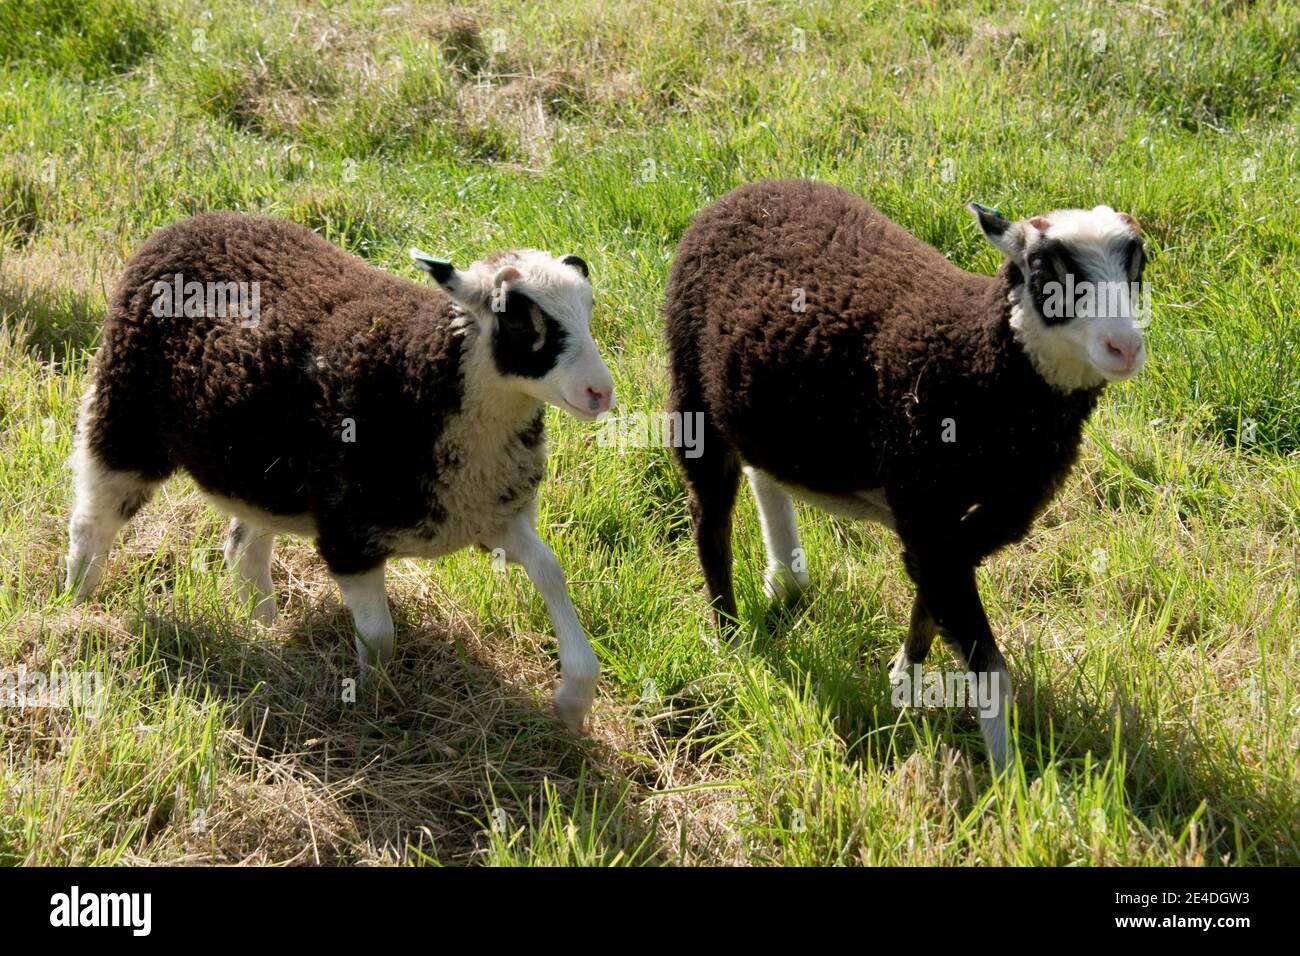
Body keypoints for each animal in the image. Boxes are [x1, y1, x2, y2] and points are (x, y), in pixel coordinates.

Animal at [68, 213, 616, 728]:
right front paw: (373, 707)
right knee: (92, 521)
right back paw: (75, 606)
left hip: (263, 469)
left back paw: (263, 627)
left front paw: (573, 702)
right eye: (521, 323)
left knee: (245, 548)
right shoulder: (349, 536)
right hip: (127, 412)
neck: (424, 375)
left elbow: (551, 572)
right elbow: (379, 636)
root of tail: (192, 222)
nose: (601, 393)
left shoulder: (492, 512)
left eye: (588, 310)